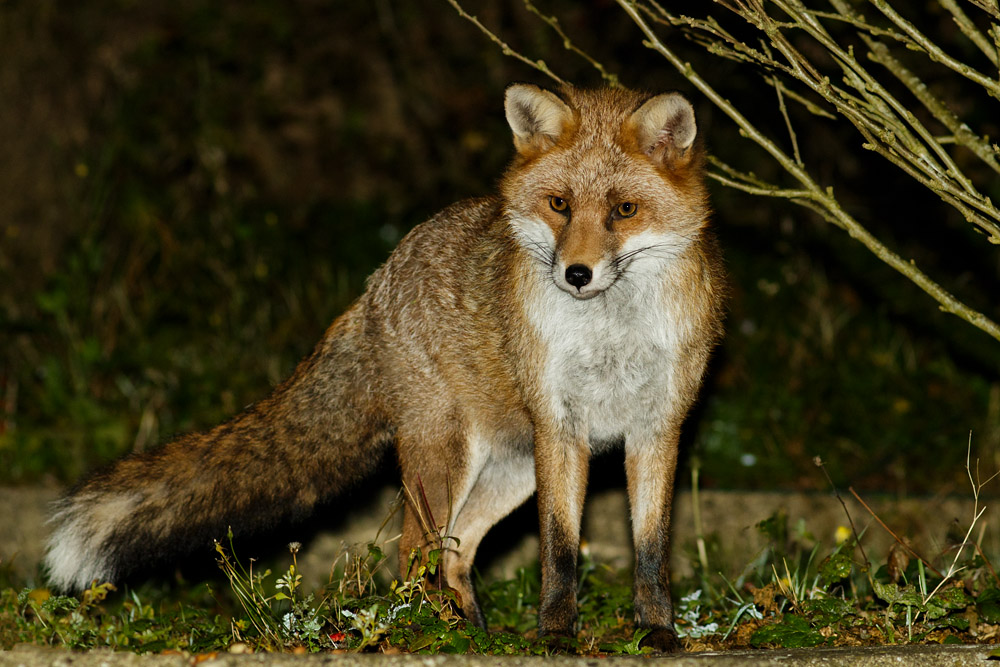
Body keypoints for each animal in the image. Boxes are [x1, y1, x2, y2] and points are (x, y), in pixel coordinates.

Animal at [43, 83, 725, 652]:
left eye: (624, 210)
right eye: (559, 204)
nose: (576, 274)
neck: (611, 335)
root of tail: (378, 282)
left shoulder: (657, 429)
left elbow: (651, 548)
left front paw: (657, 633)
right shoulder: (561, 428)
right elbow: (559, 551)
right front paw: (556, 637)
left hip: (506, 470)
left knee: (452, 554)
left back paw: (468, 633)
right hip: (449, 459)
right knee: (414, 553)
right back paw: (433, 634)